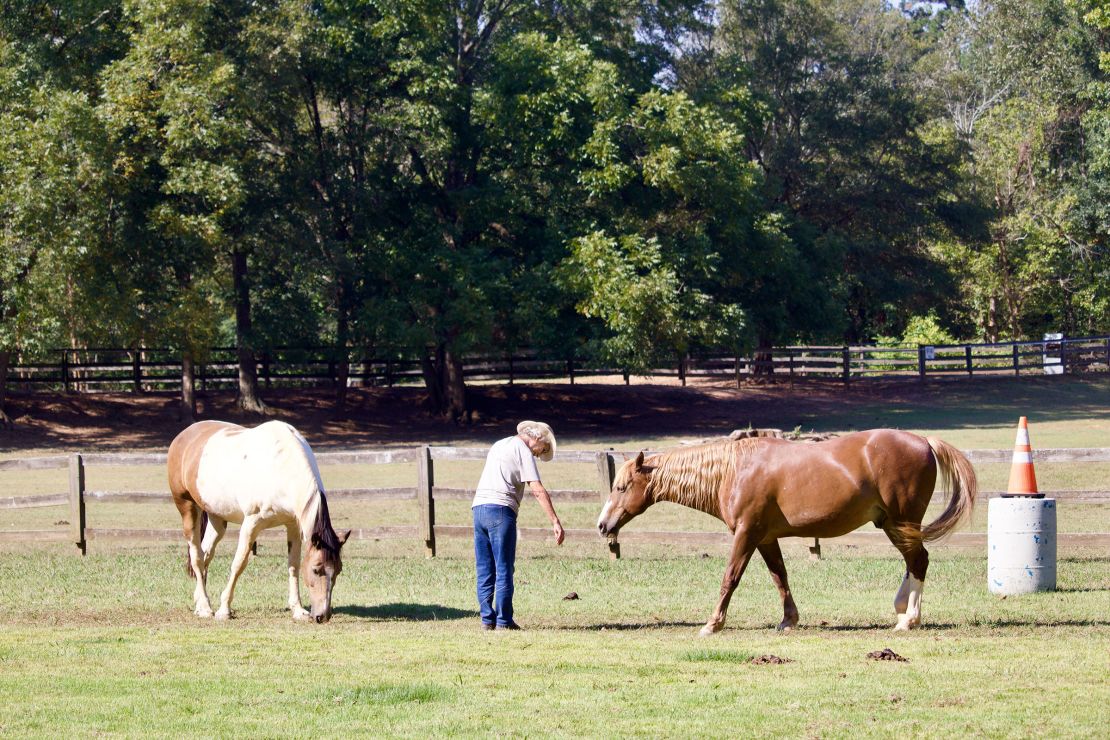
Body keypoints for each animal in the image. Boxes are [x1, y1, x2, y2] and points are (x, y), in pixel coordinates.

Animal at [166, 419, 348, 621]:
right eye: (316, 569)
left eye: (338, 569)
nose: (323, 616)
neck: (281, 466)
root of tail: (183, 436)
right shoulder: (251, 524)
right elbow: (239, 563)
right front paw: (224, 610)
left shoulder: (293, 525)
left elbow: (293, 564)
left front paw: (298, 610)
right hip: (187, 507)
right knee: (197, 557)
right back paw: (206, 608)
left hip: (217, 518)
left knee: (206, 554)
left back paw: (199, 604)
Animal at [594, 430, 976, 634]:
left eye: (622, 486)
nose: (602, 525)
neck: (734, 470)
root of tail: (923, 441)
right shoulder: (765, 538)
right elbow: (780, 577)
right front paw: (788, 620)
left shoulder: (746, 534)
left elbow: (730, 578)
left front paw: (713, 624)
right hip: (892, 524)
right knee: (914, 562)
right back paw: (902, 611)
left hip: (901, 522)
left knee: (919, 561)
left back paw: (909, 618)